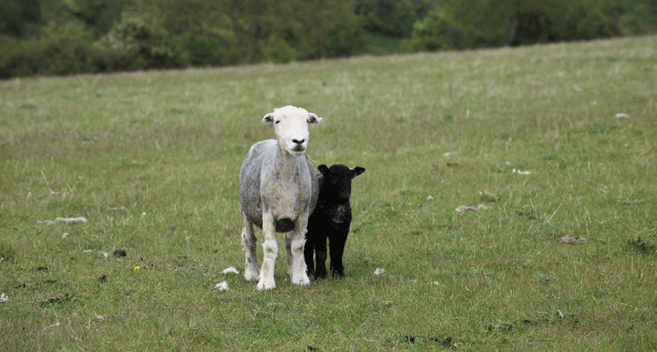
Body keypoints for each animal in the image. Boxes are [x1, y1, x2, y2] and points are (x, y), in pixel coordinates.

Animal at [241, 105, 322, 292]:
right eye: (277, 121)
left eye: (306, 120)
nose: (298, 141)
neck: (286, 180)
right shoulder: (268, 213)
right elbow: (270, 248)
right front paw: (265, 282)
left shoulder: (302, 214)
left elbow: (297, 245)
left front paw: (300, 277)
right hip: (245, 211)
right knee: (249, 239)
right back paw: (252, 273)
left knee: (288, 242)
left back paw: (291, 270)